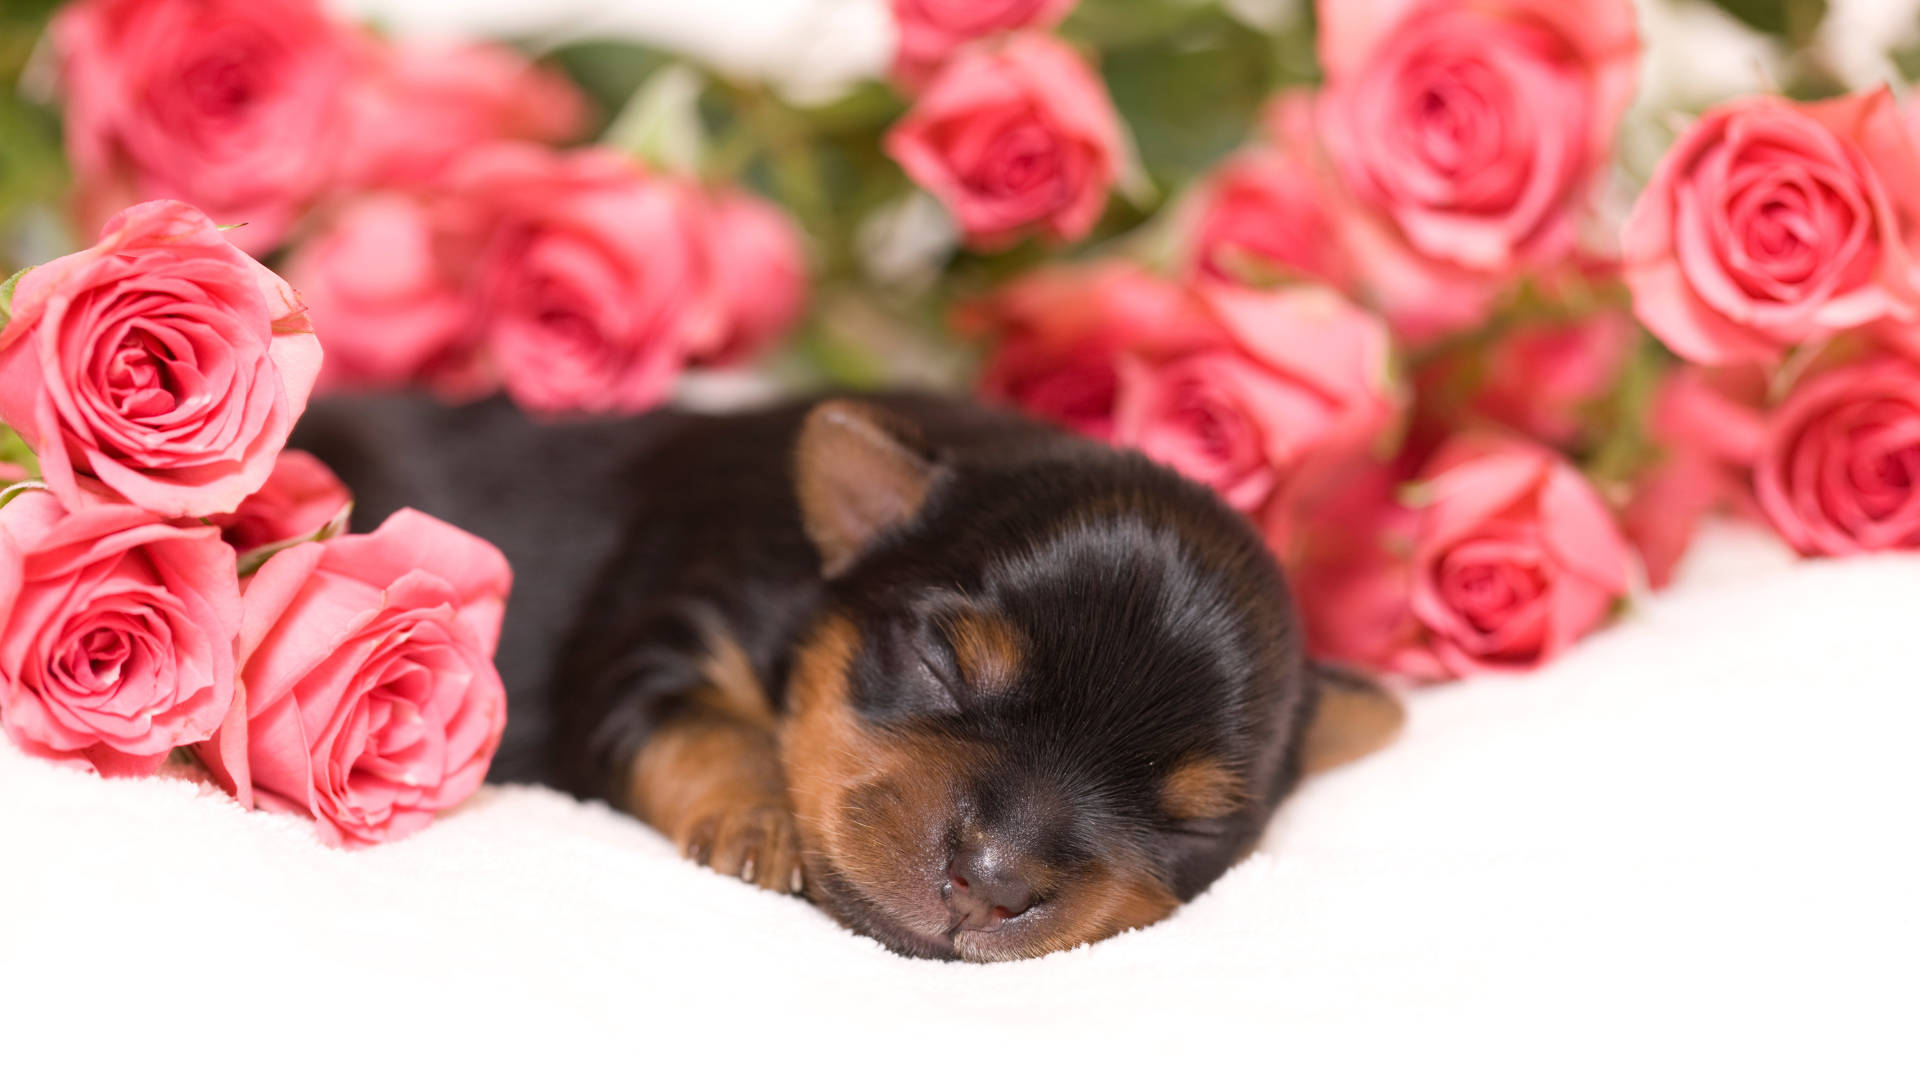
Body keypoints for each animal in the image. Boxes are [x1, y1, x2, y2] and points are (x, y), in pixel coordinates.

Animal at [303, 393, 1413, 957]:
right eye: (941, 664)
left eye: (1191, 823)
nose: (993, 881)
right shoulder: (657, 631)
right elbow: (699, 724)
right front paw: (759, 822)